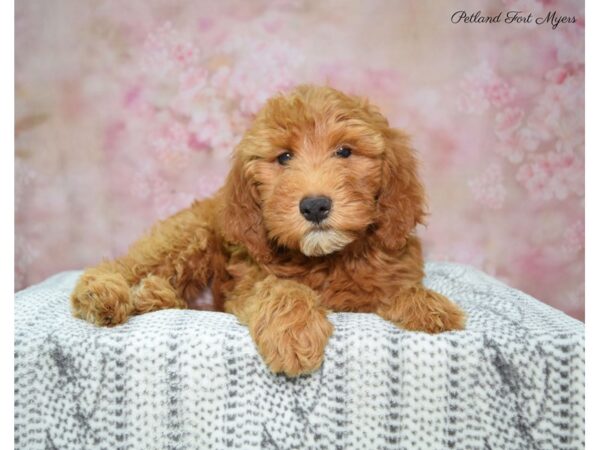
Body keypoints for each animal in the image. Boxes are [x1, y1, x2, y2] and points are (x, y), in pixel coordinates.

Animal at [70, 84, 464, 376]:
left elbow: (396, 288)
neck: (327, 258)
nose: (315, 205)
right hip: (188, 236)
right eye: (284, 157)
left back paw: (153, 296)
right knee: (120, 267)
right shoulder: (248, 281)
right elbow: (281, 288)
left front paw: (427, 306)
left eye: (344, 151)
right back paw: (103, 294)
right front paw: (294, 332)